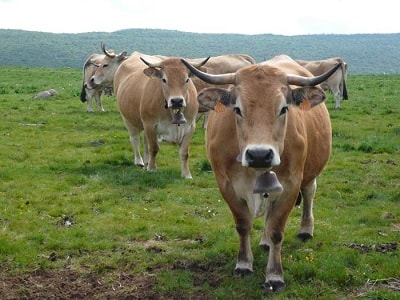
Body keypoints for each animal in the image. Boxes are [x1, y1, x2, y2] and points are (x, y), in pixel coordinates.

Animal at [181, 55, 340, 292]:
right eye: (237, 109)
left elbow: (277, 231)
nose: (259, 155)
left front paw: (274, 275)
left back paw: (305, 229)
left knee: (309, 193)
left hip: (309, 175)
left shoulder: (291, 185)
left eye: (283, 108)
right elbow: (243, 225)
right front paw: (243, 264)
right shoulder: (226, 184)